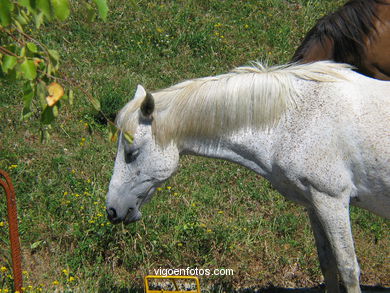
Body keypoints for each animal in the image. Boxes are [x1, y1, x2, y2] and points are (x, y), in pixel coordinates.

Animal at [105, 60, 388, 290]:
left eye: (132, 152)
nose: (112, 210)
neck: (295, 117)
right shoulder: (315, 203)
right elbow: (327, 264)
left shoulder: (332, 200)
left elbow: (347, 269)